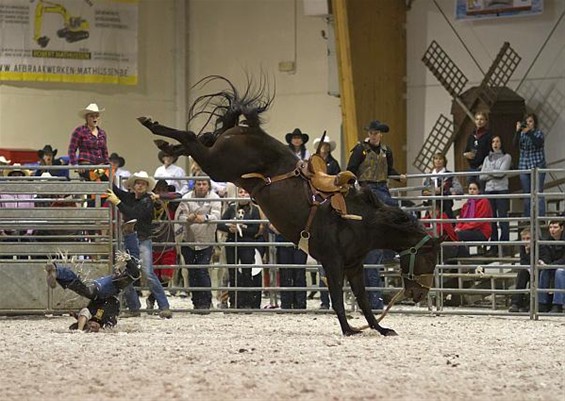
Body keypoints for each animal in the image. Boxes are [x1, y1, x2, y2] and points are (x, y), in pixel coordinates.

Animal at [137, 74, 440, 334]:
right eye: (428, 258)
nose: (419, 294)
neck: (362, 220)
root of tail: (250, 130)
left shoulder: (354, 266)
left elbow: (364, 300)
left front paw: (379, 328)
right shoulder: (332, 262)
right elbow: (338, 298)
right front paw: (348, 329)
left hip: (216, 163)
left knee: (199, 139)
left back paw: (163, 143)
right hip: (217, 165)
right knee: (191, 137)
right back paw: (152, 125)